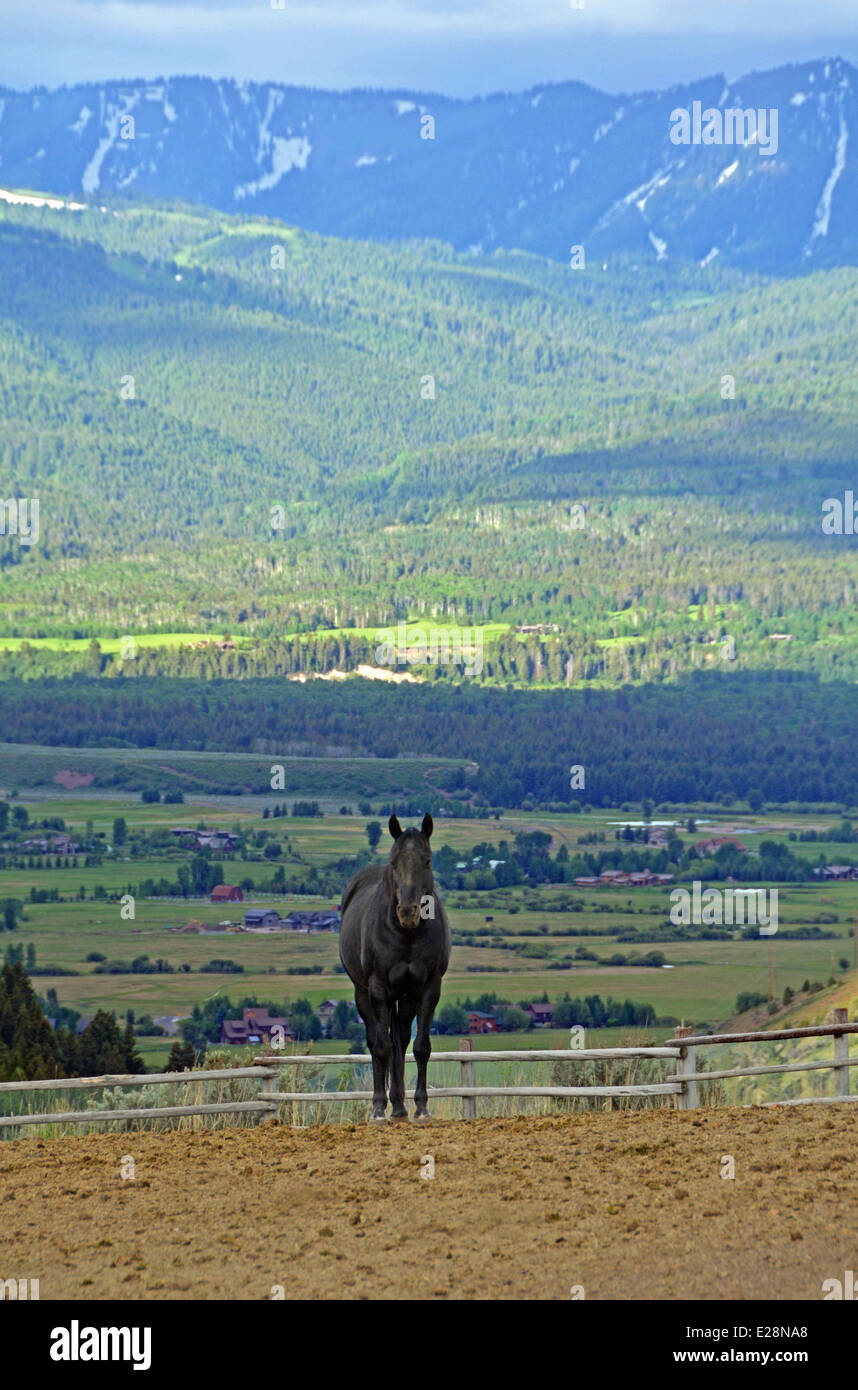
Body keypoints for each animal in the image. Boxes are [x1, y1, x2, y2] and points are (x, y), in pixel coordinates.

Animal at [339, 813, 450, 1122]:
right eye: (393, 861)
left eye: (427, 860)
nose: (408, 912)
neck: (407, 935)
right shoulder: (378, 989)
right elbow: (381, 1047)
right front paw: (378, 1109)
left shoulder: (429, 989)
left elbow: (420, 1047)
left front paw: (421, 1107)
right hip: (365, 994)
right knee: (377, 1041)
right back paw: (386, 1105)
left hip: (406, 997)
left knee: (400, 1038)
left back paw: (400, 1106)